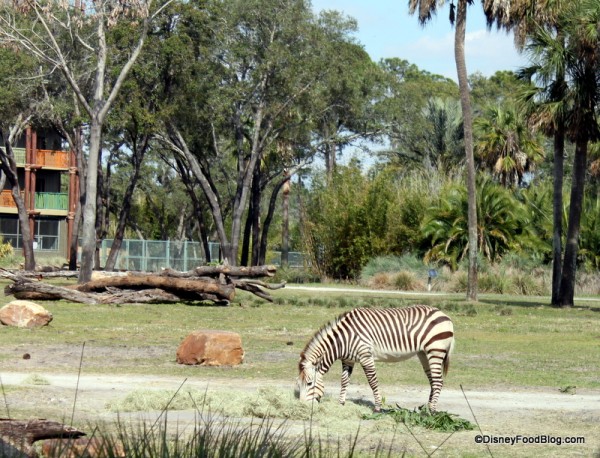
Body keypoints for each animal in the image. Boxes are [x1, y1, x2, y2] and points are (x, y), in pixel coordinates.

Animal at [296, 304, 454, 412]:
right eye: (298, 384)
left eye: (309, 383)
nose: (302, 406)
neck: (344, 339)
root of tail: (444, 315)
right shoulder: (348, 360)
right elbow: (344, 381)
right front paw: (341, 403)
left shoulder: (366, 356)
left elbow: (372, 382)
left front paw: (377, 408)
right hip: (424, 354)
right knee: (433, 381)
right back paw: (427, 408)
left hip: (435, 351)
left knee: (438, 381)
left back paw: (431, 411)